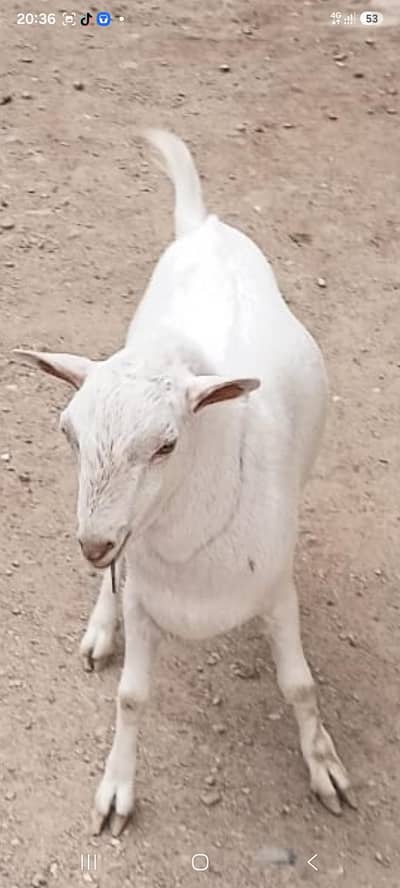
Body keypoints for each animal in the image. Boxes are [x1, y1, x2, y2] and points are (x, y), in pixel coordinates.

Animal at [15, 129, 356, 836]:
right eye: (67, 432)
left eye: (168, 444)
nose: (91, 543)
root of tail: (205, 225)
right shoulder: (144, 595)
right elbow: (131, 697)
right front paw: (116, 789)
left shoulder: (278, 591)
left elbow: (300, 686)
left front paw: (326, 768)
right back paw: (100, 625)